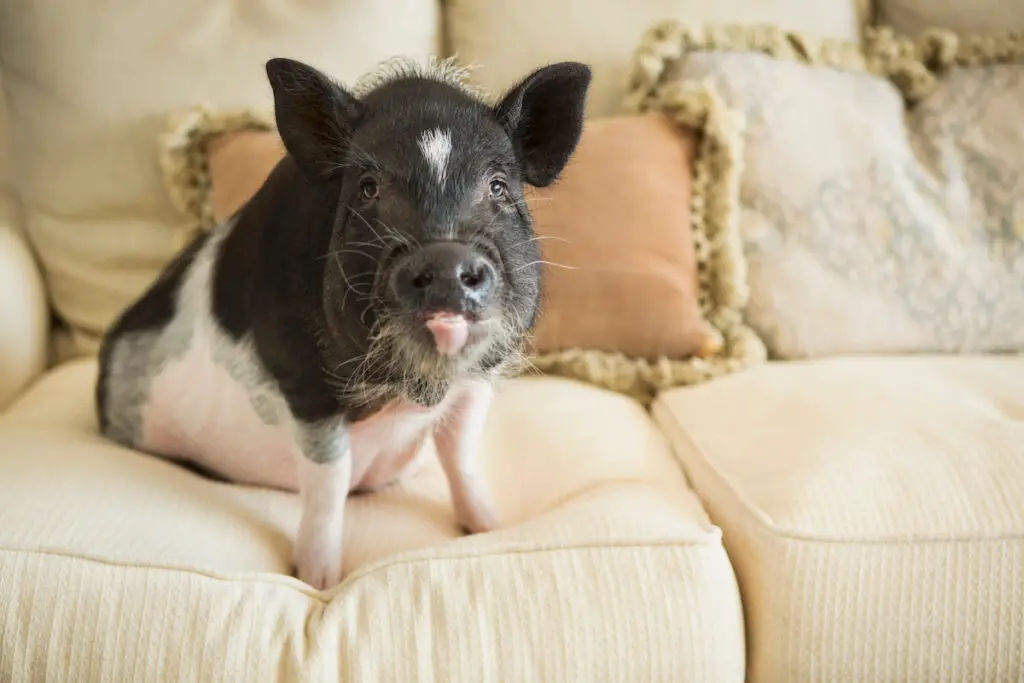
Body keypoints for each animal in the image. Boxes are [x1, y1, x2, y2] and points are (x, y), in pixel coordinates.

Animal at [96, 56, 593, 589]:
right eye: (367, 188)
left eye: (498, 186)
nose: (444, 258)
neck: (408, 395)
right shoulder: (305, 384)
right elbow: (329, 481)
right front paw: (319, 581)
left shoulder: (478, 379)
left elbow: (462, 458)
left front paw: (494, 528)